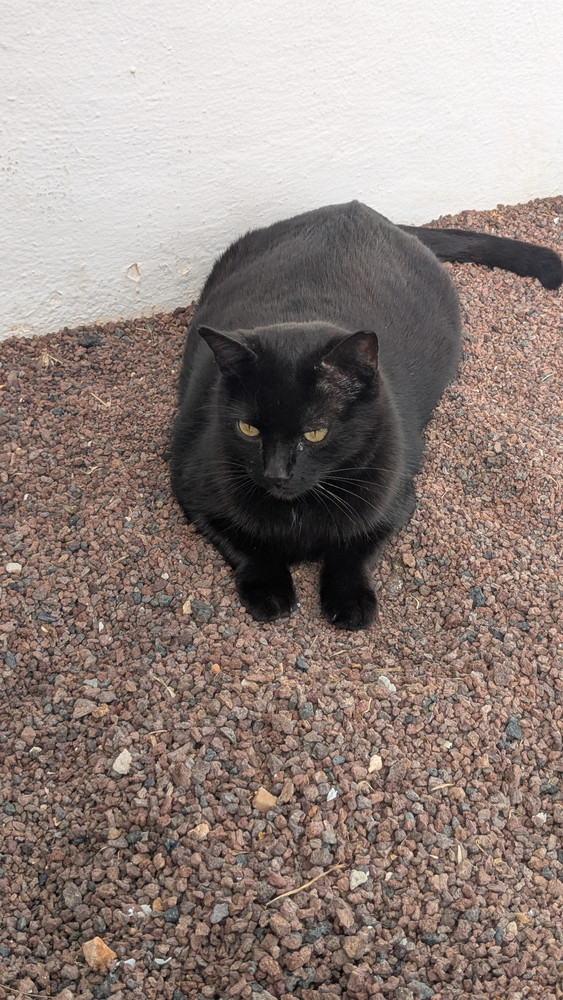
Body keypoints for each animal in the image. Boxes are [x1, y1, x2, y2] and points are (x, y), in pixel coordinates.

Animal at [170, 201, 561, 629]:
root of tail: (361, 209)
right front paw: (269, 590)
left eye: (315, 434)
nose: (276, 474)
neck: (299, 514)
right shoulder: (195, 489)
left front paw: (350, 600)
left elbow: (353, 549)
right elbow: (246, 545)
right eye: (248, 429)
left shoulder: (393, 501)